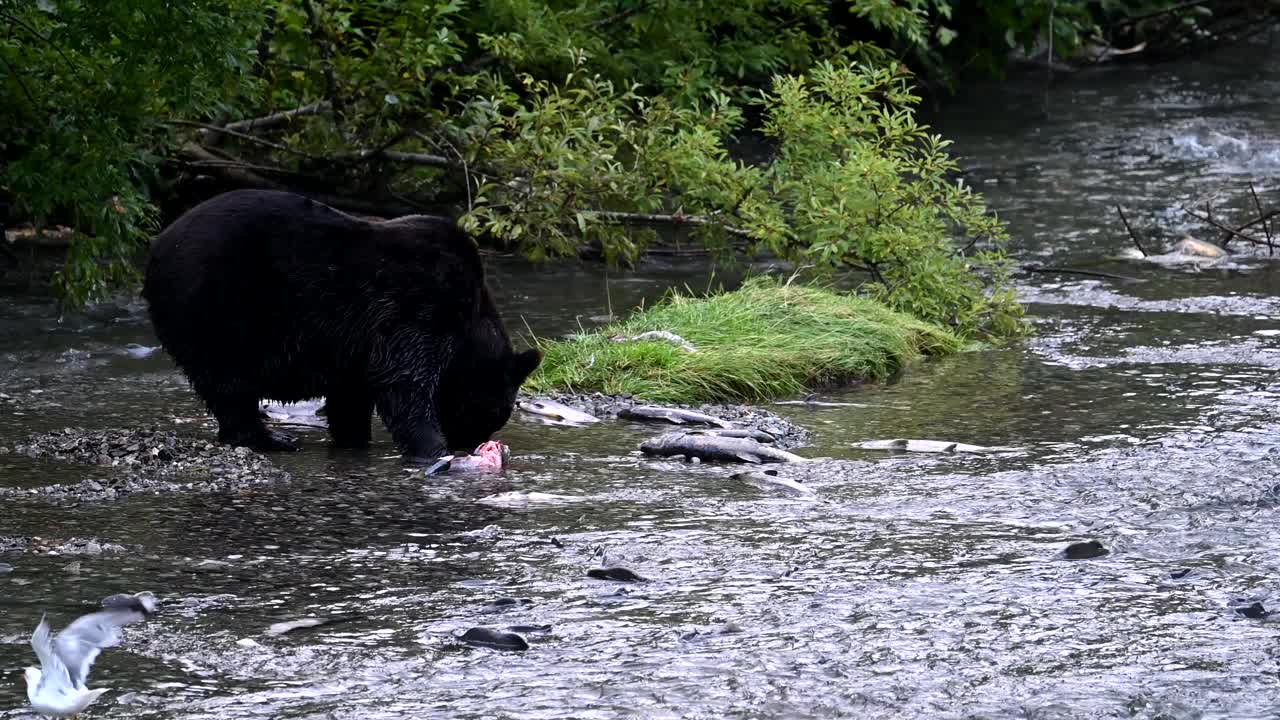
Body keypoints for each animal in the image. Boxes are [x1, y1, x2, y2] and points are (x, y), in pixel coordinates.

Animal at [142, 189, 542, 458]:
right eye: (492, 414)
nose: (469, 444)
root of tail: (157, 247)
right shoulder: (419, 304)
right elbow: (404, 379)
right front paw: (430, 447)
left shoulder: (355, 347)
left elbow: (352, 394)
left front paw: (354, 439)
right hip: (217, 307)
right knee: (230, 381)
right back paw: (271, 438)